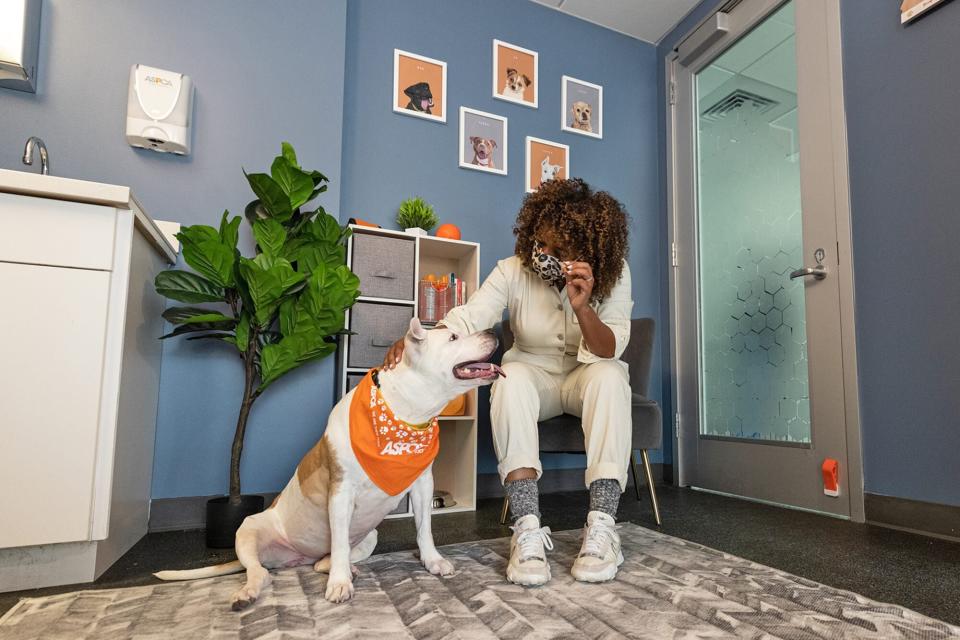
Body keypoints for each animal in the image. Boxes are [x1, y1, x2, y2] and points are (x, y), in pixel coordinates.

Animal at [156, 320, 502, 608]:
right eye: (453, 338)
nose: (493, 331)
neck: (402, 412)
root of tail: (295, 559)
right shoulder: (340, 493)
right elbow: (338, 539)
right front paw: (339, 585)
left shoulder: (421, 485)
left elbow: (424, 528)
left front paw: (433, 561)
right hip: (248, 529)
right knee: (261, 571)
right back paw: (251, 592)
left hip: (370, 535)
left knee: (326, 559)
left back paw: (346, 568)